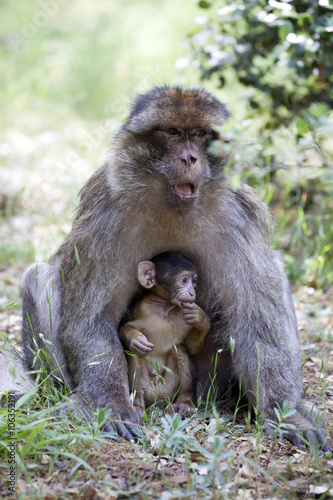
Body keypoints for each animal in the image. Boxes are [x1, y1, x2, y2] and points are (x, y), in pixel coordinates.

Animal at [119, 250, 209, 418]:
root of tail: (157, 400)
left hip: (169, 389)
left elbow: (191, 348)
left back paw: (184, 403)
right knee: (134, 354)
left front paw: (202, 319)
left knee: (180, 350)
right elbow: (125, 327)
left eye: (194, 282)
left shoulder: (184, 315)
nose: (192, 292)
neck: (165, 308)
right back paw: (138, 406)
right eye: (184, 280)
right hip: (147, 388)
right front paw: (136, 339)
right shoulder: (141, 307)